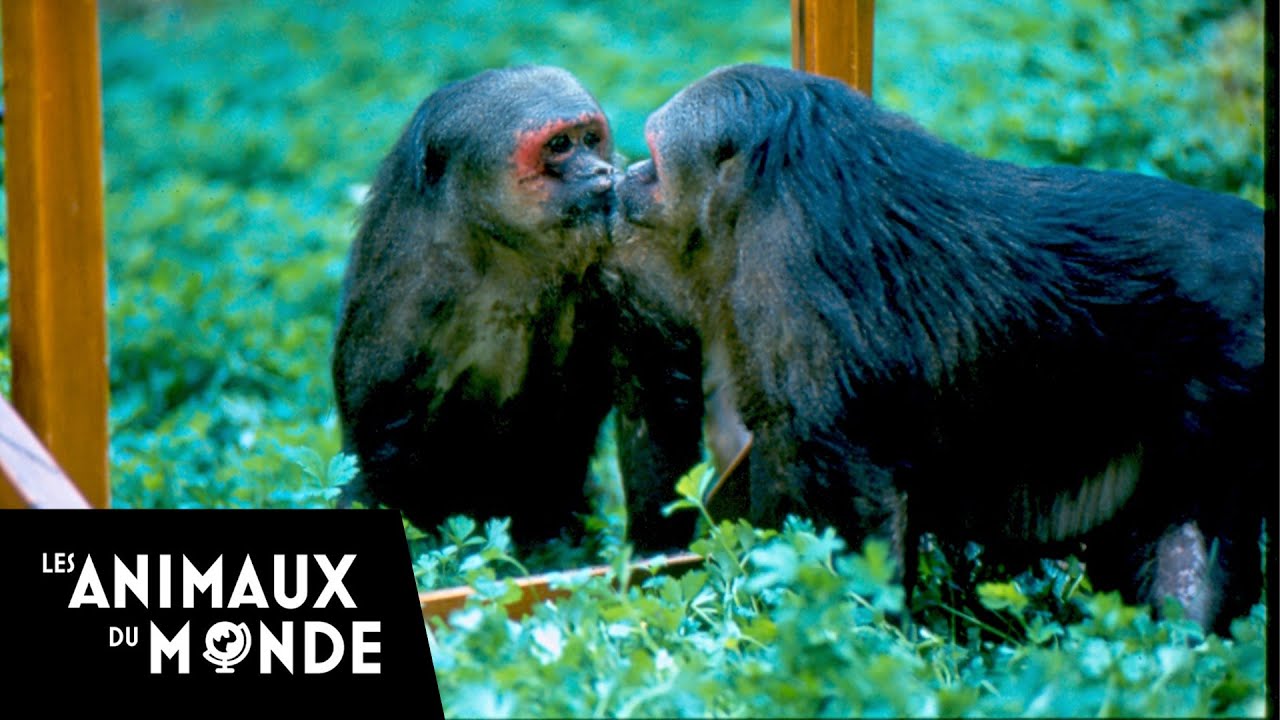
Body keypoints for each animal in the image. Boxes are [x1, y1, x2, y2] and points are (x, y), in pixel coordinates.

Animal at [331, 66, 703, 552]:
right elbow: (384, 446)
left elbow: (654, 403)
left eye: (590, 139)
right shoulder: (407, 289)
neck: (508, 251)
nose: (601, 170)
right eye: (560, 145)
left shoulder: (621, 245)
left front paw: (657, 553)